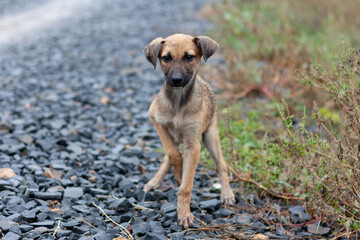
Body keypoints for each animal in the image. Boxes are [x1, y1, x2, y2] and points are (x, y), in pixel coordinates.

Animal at [143, 33, 236, 227]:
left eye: (189, 57)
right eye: (166, 58)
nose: (176, 80)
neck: (178, 103)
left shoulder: (194, 145)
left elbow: (185, 187)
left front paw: (184, 214)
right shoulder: (155, 118)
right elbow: (173, 154)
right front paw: (178, 173)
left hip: (210, 137)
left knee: (221, 165)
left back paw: (227, 194)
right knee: (169, 156)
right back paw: (155, 181)